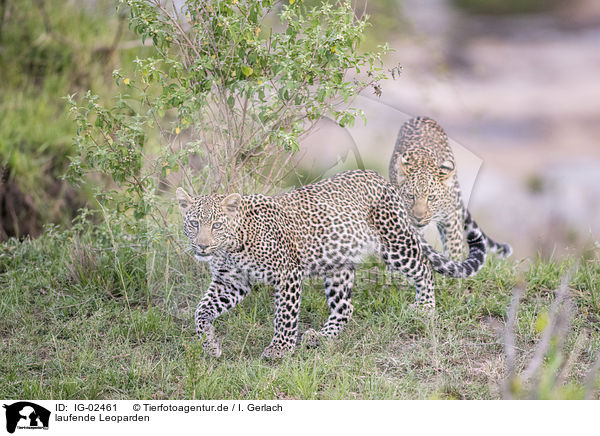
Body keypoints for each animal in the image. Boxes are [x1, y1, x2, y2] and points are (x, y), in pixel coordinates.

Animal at [177, 169, 488, 358]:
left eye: (217, 225)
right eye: (194, 224)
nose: (202, 246)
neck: (231, 247)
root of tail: (381, 179)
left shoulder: (288, 273)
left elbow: (285, 316)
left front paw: (280, 350)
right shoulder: (231, 282)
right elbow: (201, 311)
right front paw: (209, 345)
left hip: (394, 243)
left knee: (423, 266)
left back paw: (424, 308)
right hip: (338, 264)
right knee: (345, 307)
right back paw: (322, 337)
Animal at [390, 115, 510, 262]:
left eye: (431, 198)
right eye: (410, 196)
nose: (418, 217)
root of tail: (421, 117)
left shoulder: (451, 217)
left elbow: (454, 246)